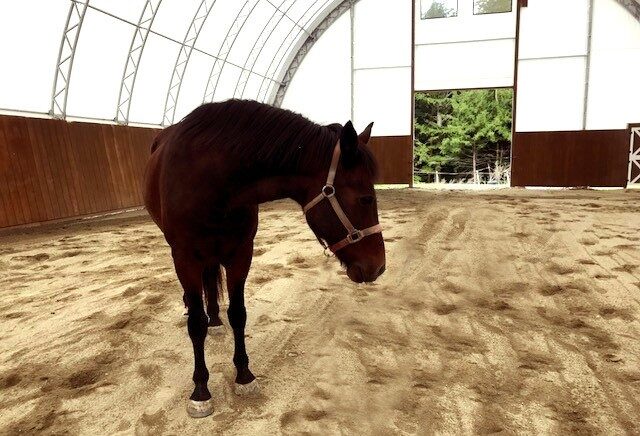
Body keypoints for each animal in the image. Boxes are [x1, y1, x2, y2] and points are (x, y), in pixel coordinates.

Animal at [143, 99, 386, 418]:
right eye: (365, 198)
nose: (378, 266)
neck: (211, 179)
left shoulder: (241, 253)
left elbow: (238, 314)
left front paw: (244, 376)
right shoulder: (185, 258)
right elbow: (195, 324)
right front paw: (200, 390)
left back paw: (215, 320)